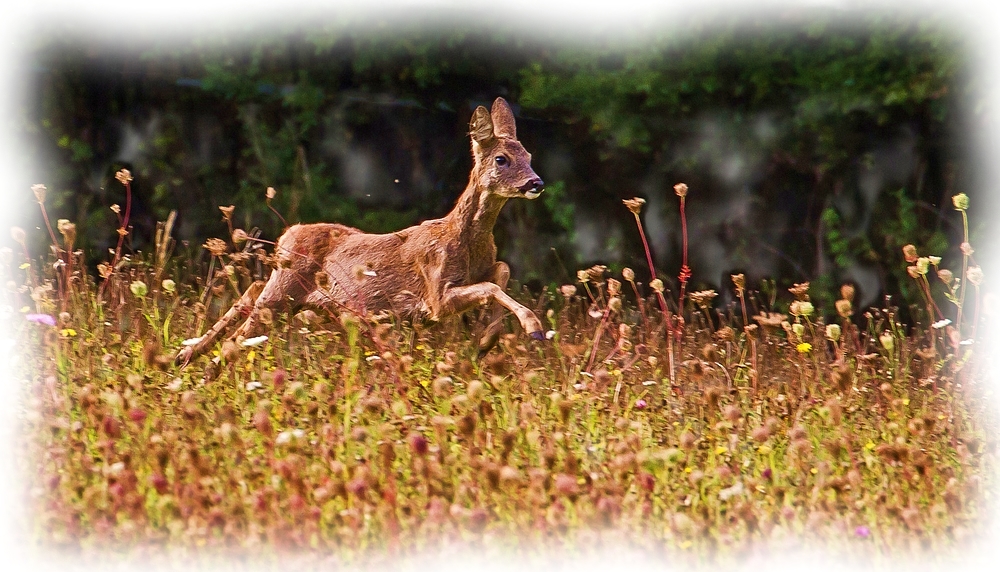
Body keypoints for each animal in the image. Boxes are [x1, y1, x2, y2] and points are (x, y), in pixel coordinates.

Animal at [174, 98, 548, 366]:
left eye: (529, 154)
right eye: (501, 159)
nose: (536, 183)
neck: (465, 239)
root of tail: (286, 235)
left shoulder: (472, 276)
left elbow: (501, 271)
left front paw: (486, 343)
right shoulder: (436, 296)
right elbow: (489, 286)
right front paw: (533, 329)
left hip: (289, 294)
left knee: (251, 292)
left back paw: (186, 356)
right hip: (284, 292)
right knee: (245, 323)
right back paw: (206, 366)